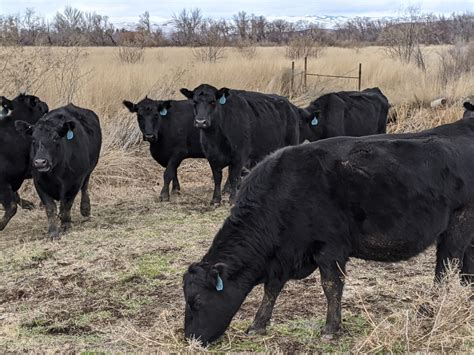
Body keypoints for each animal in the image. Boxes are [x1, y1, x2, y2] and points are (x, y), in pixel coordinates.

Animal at [15, 104, 102, 241]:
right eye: (33, 140)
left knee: (85, 186)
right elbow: (50, 208)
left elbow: (67, 205)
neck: (55, 174)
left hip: (91, 167)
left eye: (55, 138)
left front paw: (66, 224)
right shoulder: (39, 183)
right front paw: (52, 231)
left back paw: (85, 209)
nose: (40, 162)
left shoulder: (74, 182)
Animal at [183, 115, 474, 346]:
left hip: (459, 222)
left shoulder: (329, 248)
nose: (190, 339)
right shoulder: (282, 256)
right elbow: (272, 289)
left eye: (196, 301)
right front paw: (258, 325)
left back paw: (430, 310)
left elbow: (331, 286)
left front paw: (331, 329)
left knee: (446, 269)